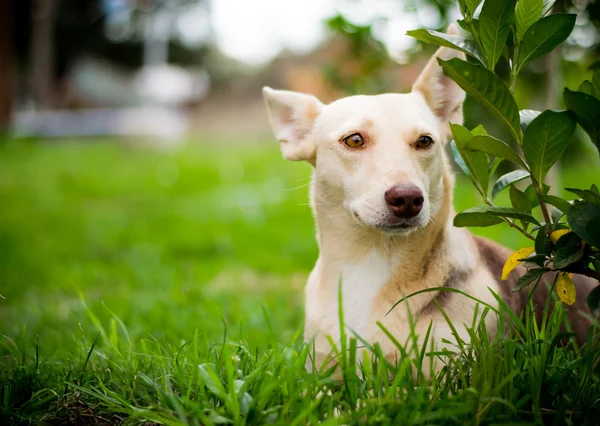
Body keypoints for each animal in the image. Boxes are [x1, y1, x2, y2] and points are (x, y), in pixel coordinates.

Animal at [262, 24, 596, 370]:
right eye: (354, 140)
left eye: (425, 141)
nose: (408, 198)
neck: (371, 261)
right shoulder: (322, 370)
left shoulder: (448, 371)